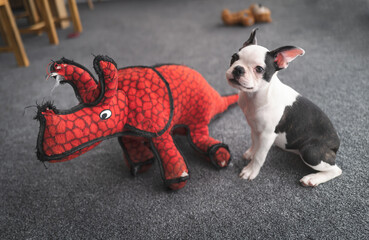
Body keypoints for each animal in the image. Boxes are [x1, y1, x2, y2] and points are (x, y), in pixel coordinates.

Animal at [226, 29, 340, 187]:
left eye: (259, 69)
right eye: (234, 58)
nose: (238, 69)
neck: (255, 96)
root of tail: (336, 144)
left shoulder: (267, 135)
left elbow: (259, 156)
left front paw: (251, 170)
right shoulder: (255, 127)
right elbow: (255, 142)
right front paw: (250, 153)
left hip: (310, 152)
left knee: (336, 170)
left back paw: (312, 178)